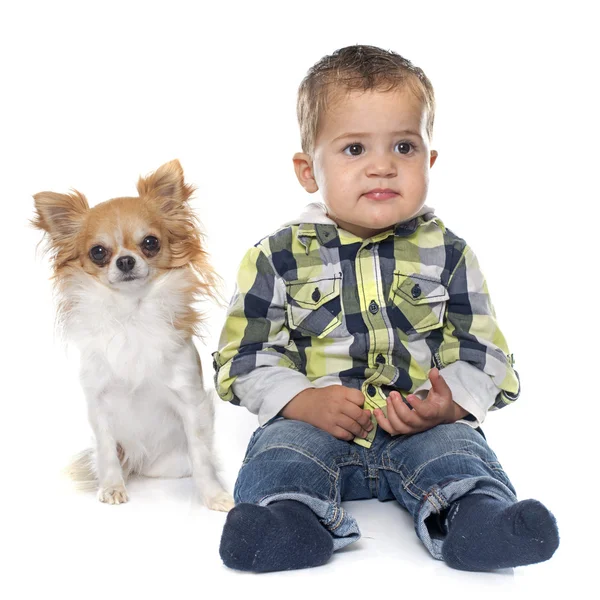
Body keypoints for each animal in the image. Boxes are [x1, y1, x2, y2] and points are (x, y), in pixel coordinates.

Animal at [32, 159, 234, 510]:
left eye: (150, 243)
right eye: (98, 252)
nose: (125, 260)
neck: (131, 314)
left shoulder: (189, 400)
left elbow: (201, 455)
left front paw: (213, 495)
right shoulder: (98, 402)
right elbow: (105, 450)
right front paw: (112, 488)